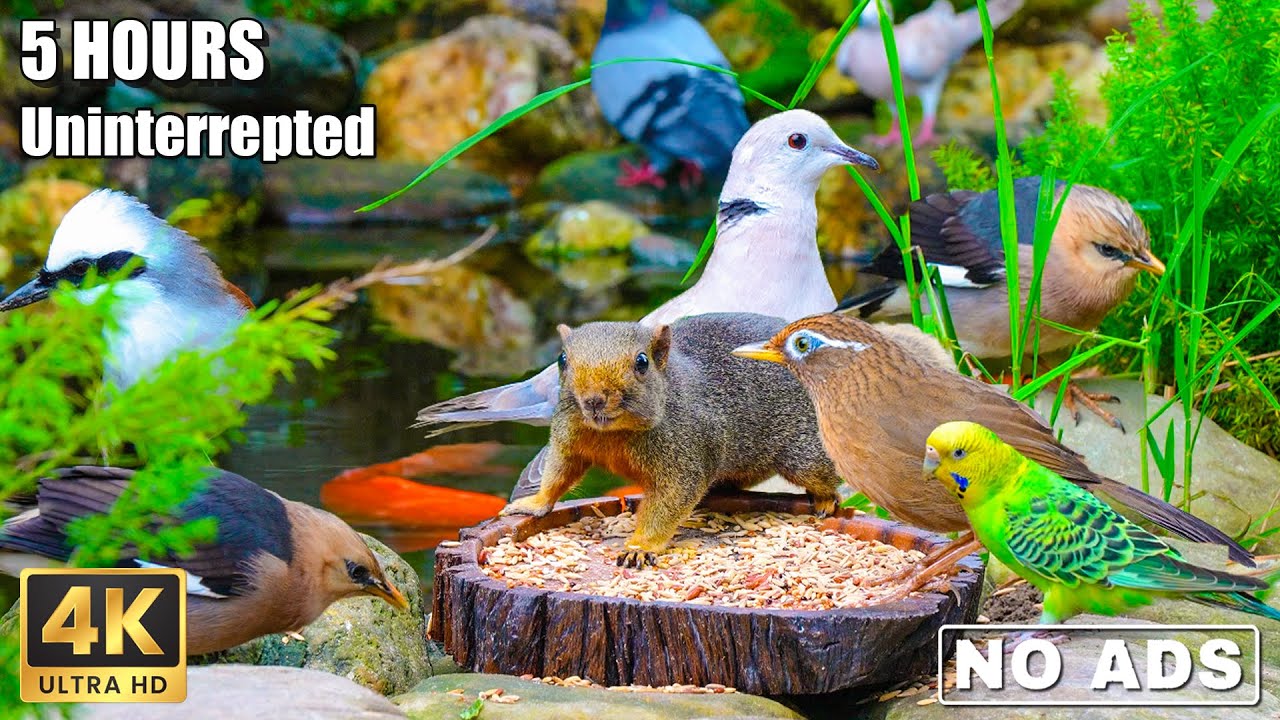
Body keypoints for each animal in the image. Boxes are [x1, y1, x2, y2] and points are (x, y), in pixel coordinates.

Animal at [502, 312, 842, 568]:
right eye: (562, 359)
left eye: (642, 362)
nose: (595, 399)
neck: (613, 433)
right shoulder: (569, 436)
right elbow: (558, 472)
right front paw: (534, 503)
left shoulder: (687, 451)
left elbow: (670, 499)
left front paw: (640, 546)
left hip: (806, 454)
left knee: (827, 478)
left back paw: (826, 499)